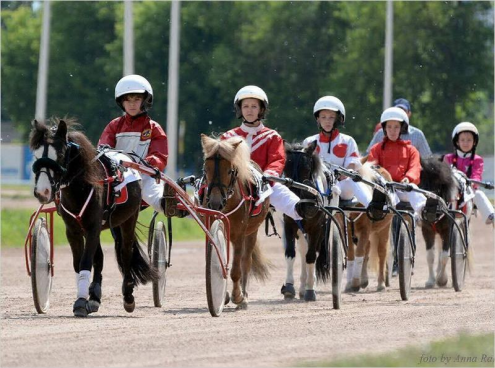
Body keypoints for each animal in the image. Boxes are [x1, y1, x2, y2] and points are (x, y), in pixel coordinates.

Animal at [29, 118, 157, 316]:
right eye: (36, 155)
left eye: (60, 154)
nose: (42, 192)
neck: (81, 188)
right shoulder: (74, 230)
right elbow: (79, 263)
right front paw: (86, 297)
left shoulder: (92, 226)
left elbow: (86, 261)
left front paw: (81, 302)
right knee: (100, 257)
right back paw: (95, 296)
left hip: (128, 219)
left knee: (126, 252)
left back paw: (128, 295)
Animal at [201, 134, 272, 310]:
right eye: (206, 169)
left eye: (229, 170)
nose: (215, 203)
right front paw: (224, 294)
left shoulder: (239, 234)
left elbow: (236, 269)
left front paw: (238, 296)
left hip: (252, 231)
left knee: (246, 261)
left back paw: (244, 295)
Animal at [280, 139, 332, 300]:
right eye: (286, 167)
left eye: (307, 168)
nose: (295, 202)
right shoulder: (290, 224)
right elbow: (290, 253)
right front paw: (289, 286)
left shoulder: (317, 227)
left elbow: (311, 256)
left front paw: (310, 290)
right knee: (303, 249)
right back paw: (302, 287)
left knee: (312, 252)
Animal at [346, 161, 394, 294]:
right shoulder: (345, 227)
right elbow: (351, 253)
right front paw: (350, 284)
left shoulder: (365, 229)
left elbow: (360, 251)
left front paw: (355, 283)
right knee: (367, 249)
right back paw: (364, 280)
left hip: (384, 228)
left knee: (381, 252)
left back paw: (381, 283)